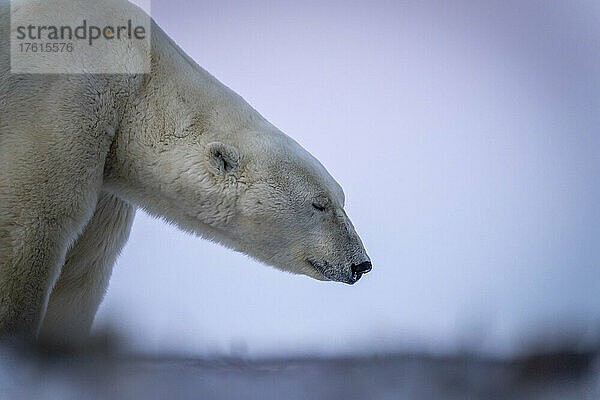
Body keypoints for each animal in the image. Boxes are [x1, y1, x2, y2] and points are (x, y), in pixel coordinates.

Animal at [0, 0, 372, 344]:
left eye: (342, 200)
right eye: (318, 204)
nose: (361, 264)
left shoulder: (106, 172)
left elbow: (86, 263)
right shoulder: (57, 104)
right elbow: (32, 223)